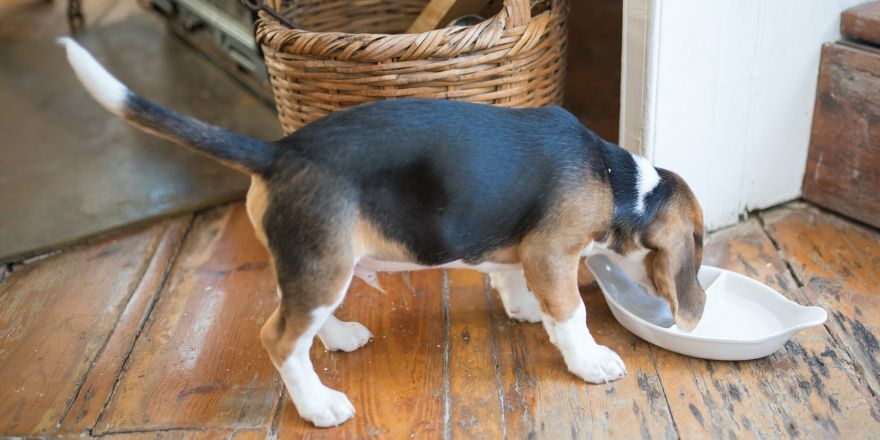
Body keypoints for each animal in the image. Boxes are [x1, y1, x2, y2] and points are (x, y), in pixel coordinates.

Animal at [60, 36, 708, 428]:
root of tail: (277, 151)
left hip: (314, 264)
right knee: (278, 338)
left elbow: (509, 277)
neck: (618, 180)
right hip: (324, 266)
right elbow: (570, 312)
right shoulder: (553, 252)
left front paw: (524, 307)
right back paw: (318, 404)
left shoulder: (520, 248)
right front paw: (588, 359)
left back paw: (339, 336)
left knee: (293, 314)